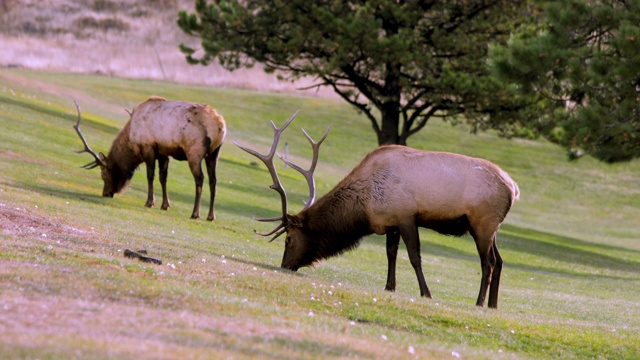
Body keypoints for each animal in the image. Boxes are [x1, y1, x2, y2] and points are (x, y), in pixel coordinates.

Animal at [72, 96, 226, 219]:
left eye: (103, 175)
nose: (106, 193)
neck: (132, 140)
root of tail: (220, 126)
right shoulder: (163, 152)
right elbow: (163, 178)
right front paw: (165, 205)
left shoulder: (148, 147)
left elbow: (150, 175)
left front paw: (149, 202)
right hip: (214, 153)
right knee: (213, 180)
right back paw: (211, 216)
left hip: (194, 151)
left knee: (200, 178)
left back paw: (195, 213)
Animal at [235, 113, 520, 310]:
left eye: (289, 238)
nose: (285, 265)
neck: (365, 207)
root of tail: (513, 188)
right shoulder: (391, 222)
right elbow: (391, 254)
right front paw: (389, 287)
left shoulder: (406, 215)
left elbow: (415, 257)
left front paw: (426, 293)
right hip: (490, 228)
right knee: (500, 260)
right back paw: (493, 304)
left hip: (482, 223)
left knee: (488, 262)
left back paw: (479, 302)